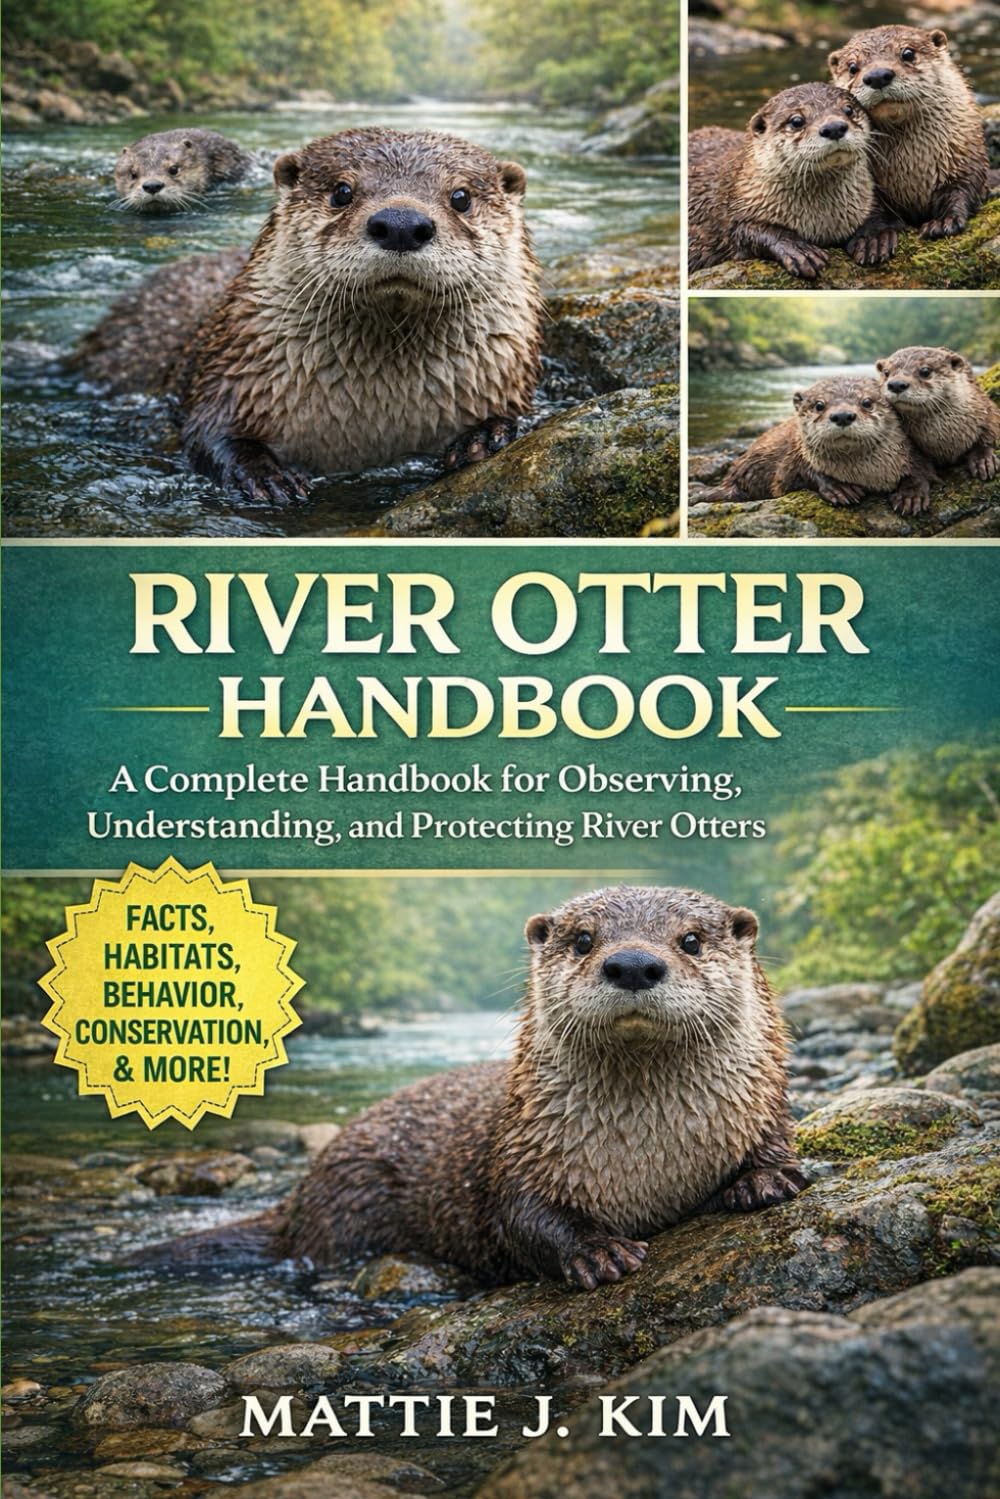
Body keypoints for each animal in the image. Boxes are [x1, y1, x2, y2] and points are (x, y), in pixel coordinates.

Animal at [143, 886, 808, 1290]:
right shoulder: (520, 1154)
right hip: (351, 1197)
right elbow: (520, 1218)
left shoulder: (764, 1107)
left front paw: (766, 1178)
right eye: (584, 939)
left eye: (691, 939)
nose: (633, 964)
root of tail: (303, 1191)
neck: (652, 1159)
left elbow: (777, 1140)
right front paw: (596, 1251)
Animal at [688, 83, 898, 278]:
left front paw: (873, 239)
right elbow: (745, 231)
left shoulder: (867, 195)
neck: (823, 220)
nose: (834, 127)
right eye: (796, 121)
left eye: (848, 109)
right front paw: (800, 252)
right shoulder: (728, 212)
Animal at [697, 377, 936, 515]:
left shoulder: (913, 452)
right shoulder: (790, 462)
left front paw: (910, 494)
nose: (842, 415)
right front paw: (838, 488)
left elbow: (922, 470)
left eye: (867, 402)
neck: (865, 474)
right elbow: (797, 475)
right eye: (819, 405)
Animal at [829, 27, 989, 239]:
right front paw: (876, 234)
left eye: (908, 53)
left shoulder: (964, 155)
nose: (878, 75)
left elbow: (962, 188)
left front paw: (944, 222)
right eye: (853, 67)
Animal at [878, 346, 1000, 481]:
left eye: (925, 371)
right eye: (886, 372)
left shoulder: (985, 406)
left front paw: (983, 459)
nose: (896, 384)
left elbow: (989, 431)